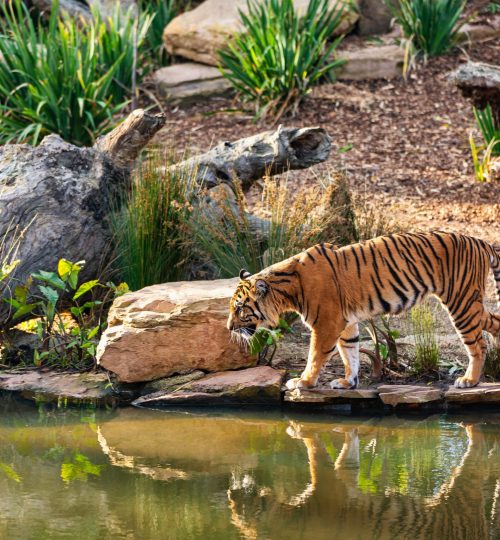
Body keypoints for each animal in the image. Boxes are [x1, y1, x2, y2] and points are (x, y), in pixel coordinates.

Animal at [228, 231, 500, 388]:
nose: (229, 328)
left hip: (461, 302)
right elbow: (350, 352)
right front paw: (348, 382)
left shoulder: (326, 324)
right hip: (470, 302)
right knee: (494, 321)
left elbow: (315, 355)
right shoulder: (346, 322)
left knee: (478, 345)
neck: (288, 287)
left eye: (240, 309)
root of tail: (480, 241)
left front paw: (303, 382)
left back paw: (469, 380)